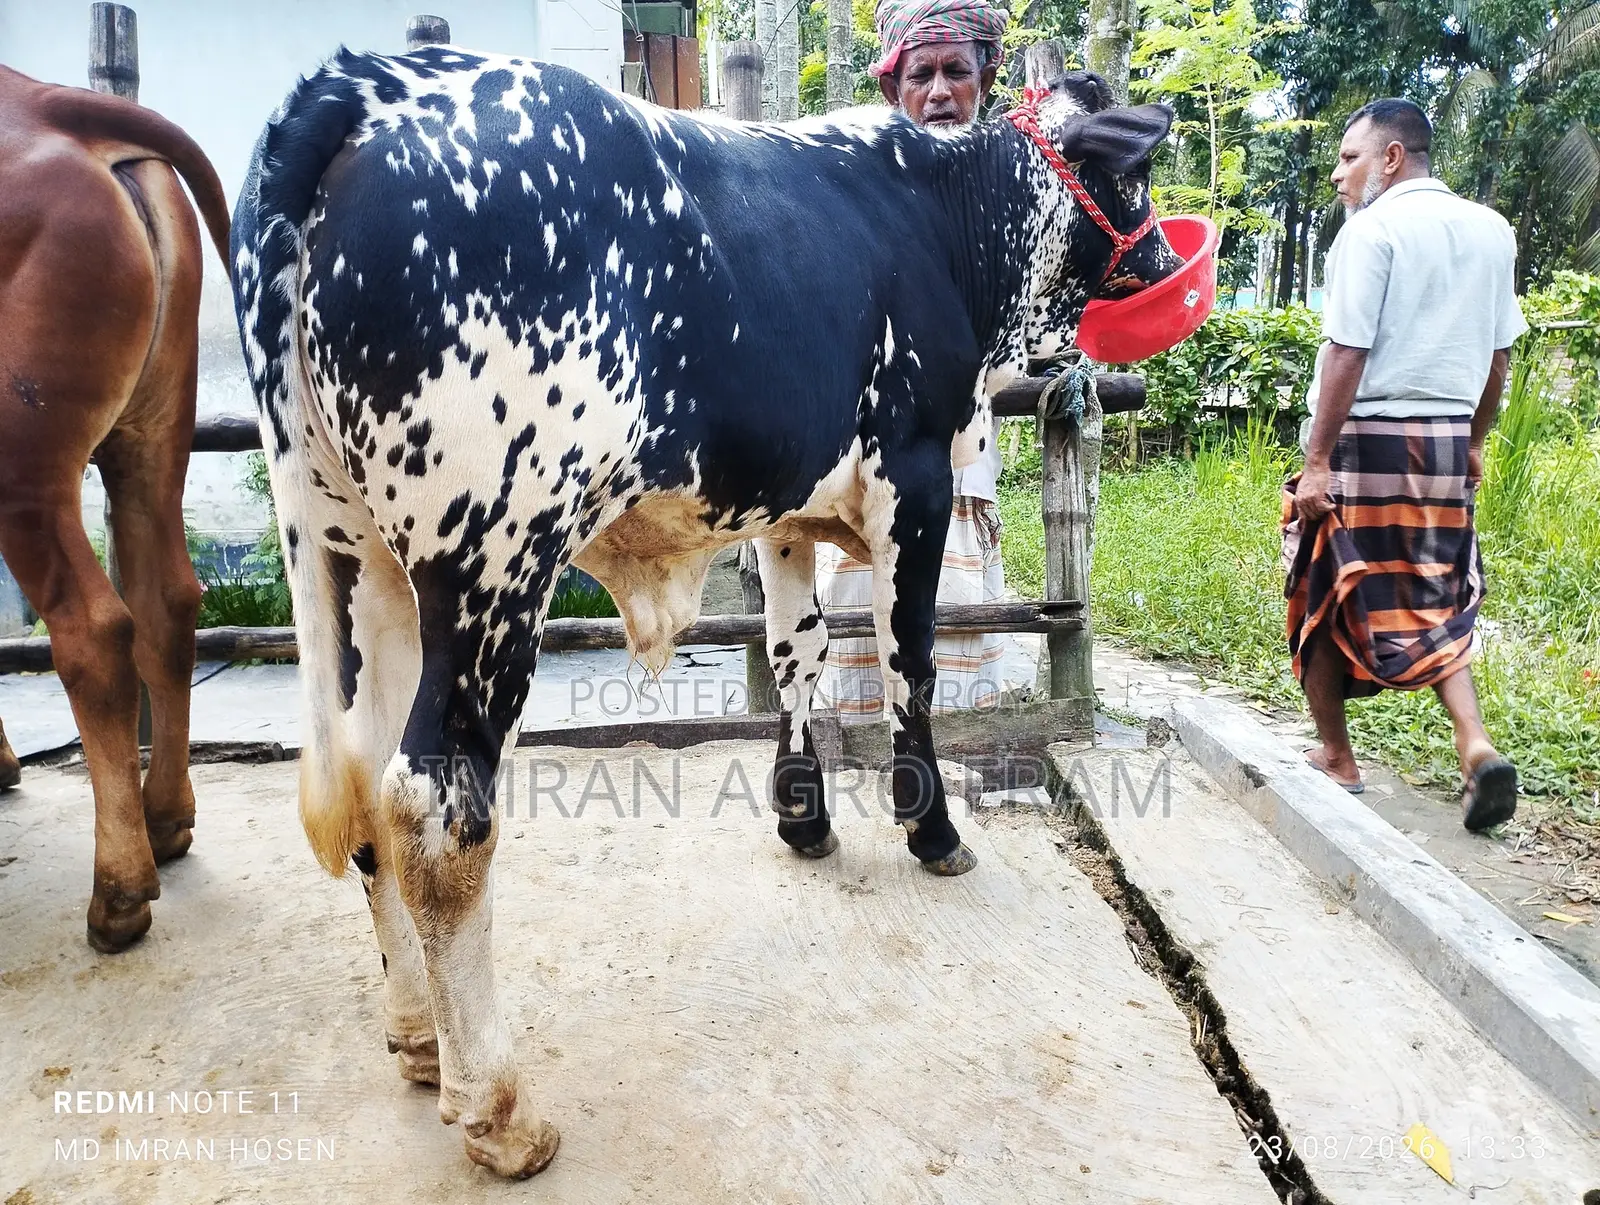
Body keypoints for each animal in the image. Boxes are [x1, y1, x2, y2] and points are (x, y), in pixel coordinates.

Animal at [0, 67, 231, 951]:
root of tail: (54, 108)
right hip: (155, 435)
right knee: (169, 601)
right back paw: (165, 820)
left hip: (24, 460)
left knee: (96, 631)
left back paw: (118, 892)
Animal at [230, 46, 1177, 1176]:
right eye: (1132, 172)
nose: (1165, 256)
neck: (946, 213)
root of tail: (366, 82)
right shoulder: (912, 476)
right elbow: (907, 658)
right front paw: (930, 825)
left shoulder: (788, 508)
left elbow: (798, 647)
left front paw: (803, 813)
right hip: (494, 558)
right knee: (434, 804)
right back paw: (499, 1108)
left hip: (358, 556)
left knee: (368, 785)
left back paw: (420, 1038)